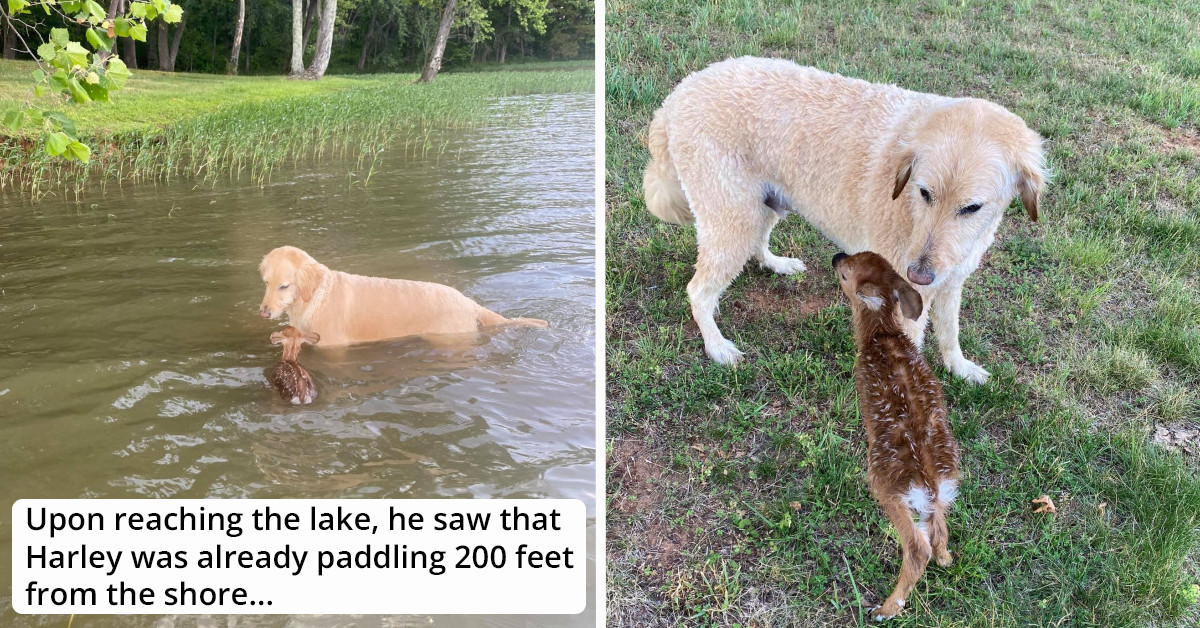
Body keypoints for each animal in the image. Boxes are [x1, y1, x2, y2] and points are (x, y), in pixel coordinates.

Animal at [643, 57, 1046, 384]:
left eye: (972, 207)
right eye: (924, 192)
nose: (918, 275)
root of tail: (679, 93)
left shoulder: (950, 283)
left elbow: (950, 333)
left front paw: (959, 367)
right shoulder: (906, 303)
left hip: (764, 205)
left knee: (756, 244)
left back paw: (776, 263)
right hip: (733, 218)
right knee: (698, 291)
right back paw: (716, 346)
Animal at [830, 252, 960, 624]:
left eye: (845, 274)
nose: (837, 256)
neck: (883, 334)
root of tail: (930, 483)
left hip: (885, 484)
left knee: (917, 547)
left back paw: (884, 609)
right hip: (937, 495)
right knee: (939, 529)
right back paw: (945, 558)